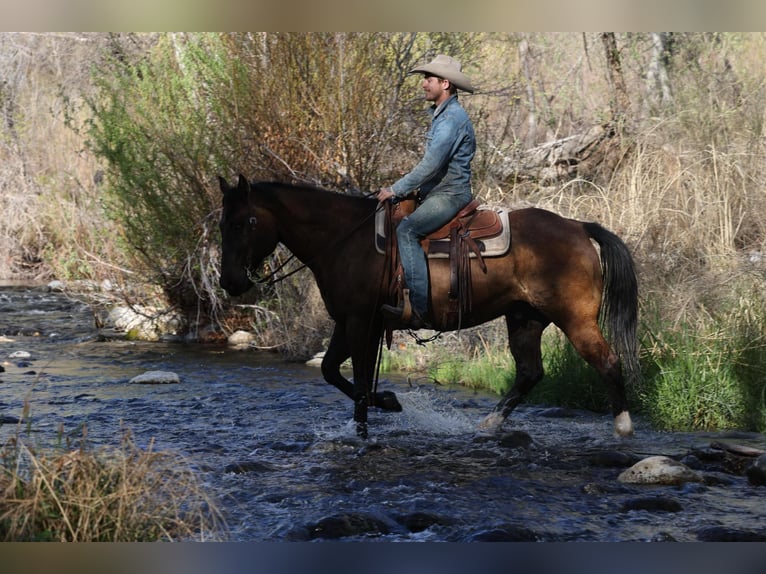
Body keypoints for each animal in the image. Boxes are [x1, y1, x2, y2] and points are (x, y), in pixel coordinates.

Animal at [218, 175, 639, 439]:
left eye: (246, 221)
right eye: (223, 224)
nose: (230, 282)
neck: (344, 240)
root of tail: (578, 226)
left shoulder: (360, 322)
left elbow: (358, 383)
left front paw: (365, 431)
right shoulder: (348, 321)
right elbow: (331, 371)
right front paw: (388, 402)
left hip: (575, 318)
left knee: (606, 361)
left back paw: (623, 427)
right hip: (525, 318)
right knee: (530, 373)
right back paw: (488, 424)